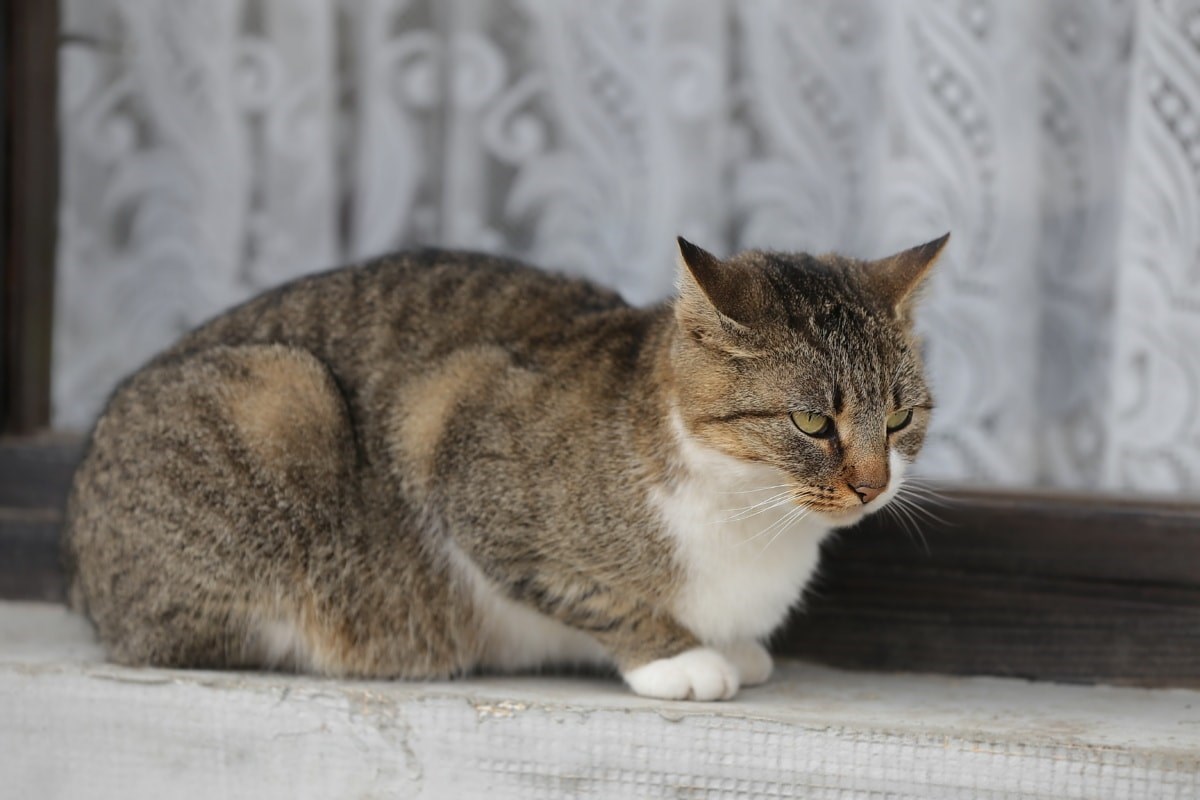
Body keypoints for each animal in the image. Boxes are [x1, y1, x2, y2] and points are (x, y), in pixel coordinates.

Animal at [65, 236, 945, 700]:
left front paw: (734, 646)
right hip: (282, 399)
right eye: (811, 421)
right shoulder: (448, 430)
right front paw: (682, 656)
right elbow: (587, 590)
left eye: (900, 418)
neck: (754, 518)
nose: (873, 484)